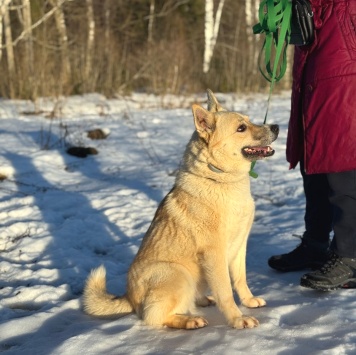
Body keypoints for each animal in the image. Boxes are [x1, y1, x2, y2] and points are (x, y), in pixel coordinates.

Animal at [83, 91, 278, 330]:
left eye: (249, 121)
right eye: (241, 128)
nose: (277, 127)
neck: (219, 179)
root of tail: (129, 297)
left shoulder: (240, 246)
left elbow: (240, 280)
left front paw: (249, 301)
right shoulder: (214, 254)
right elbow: (225, 292)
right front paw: (237, 319)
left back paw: (202, 301)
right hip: (178, 273)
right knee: (154, 316)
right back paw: (189, 320)